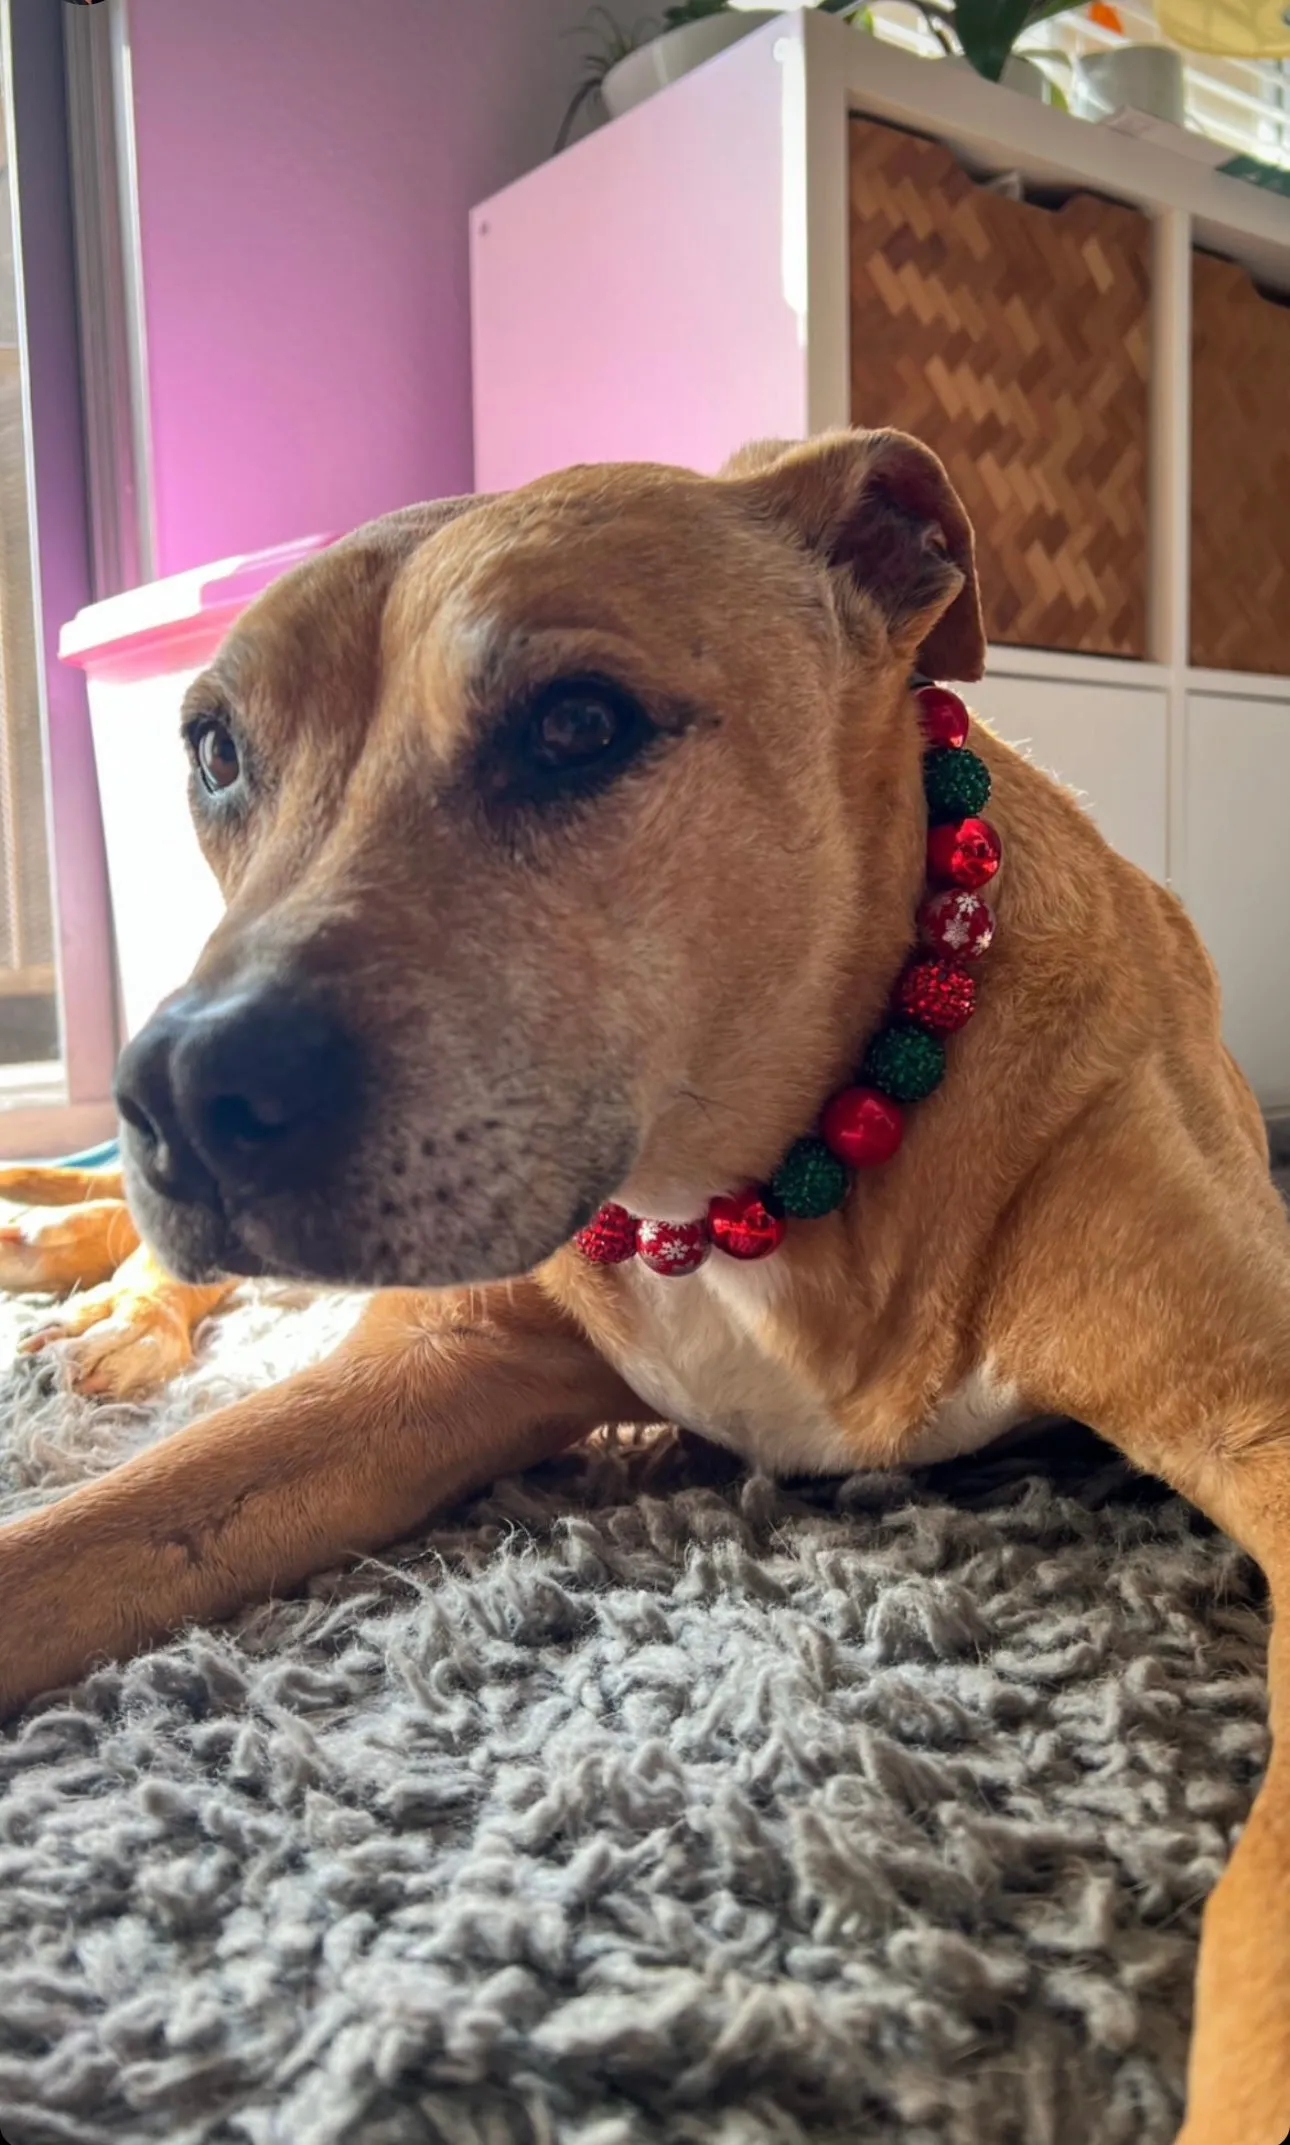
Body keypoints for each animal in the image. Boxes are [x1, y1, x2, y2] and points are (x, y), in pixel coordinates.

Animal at [2, 426, 1287, 2136]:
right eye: (212, 750)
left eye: (577, 724)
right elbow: (81, 1534)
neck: (762, 1184)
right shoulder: (423, 1369)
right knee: (137, 1247)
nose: (183, 1091)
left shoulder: (1256, 1401)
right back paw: (95, 1291)